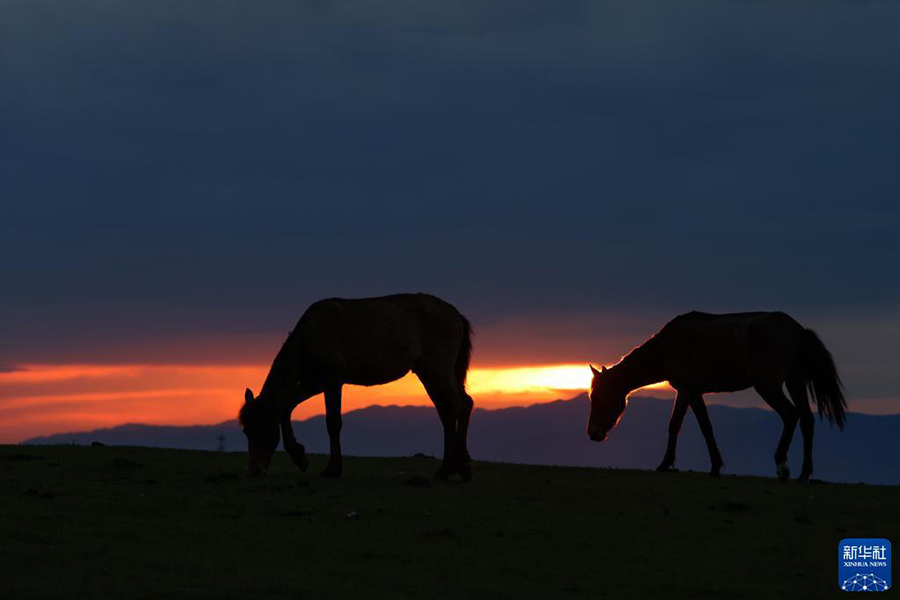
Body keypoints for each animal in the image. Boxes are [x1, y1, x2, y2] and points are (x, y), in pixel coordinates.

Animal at [239, 292, 478, 480]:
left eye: (260, 428)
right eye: (246, 431)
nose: (254, 471)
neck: (310, 336)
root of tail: (455, 314)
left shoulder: (330, 381)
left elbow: (332, 423)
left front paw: (330, 468)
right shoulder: (316, 382)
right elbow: (288, 407)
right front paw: (300, 457)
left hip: (438, 371)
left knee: (461, 405)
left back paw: (461, 468)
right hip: (428, 374)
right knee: (448, 412)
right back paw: (448, 469)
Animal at [588, 312, 848, 480]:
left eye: (598, 397)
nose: (592, 433)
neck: (669, 345)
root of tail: (798, 331)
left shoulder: (690, 390)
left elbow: (700, 426)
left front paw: (701, 465)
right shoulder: (687, 391)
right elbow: (679, 425)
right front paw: (675, 463)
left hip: (769, 387)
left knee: (791, 415)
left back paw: (782, 465)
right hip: (795, 382)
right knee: (806, 420)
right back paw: (804, 473)